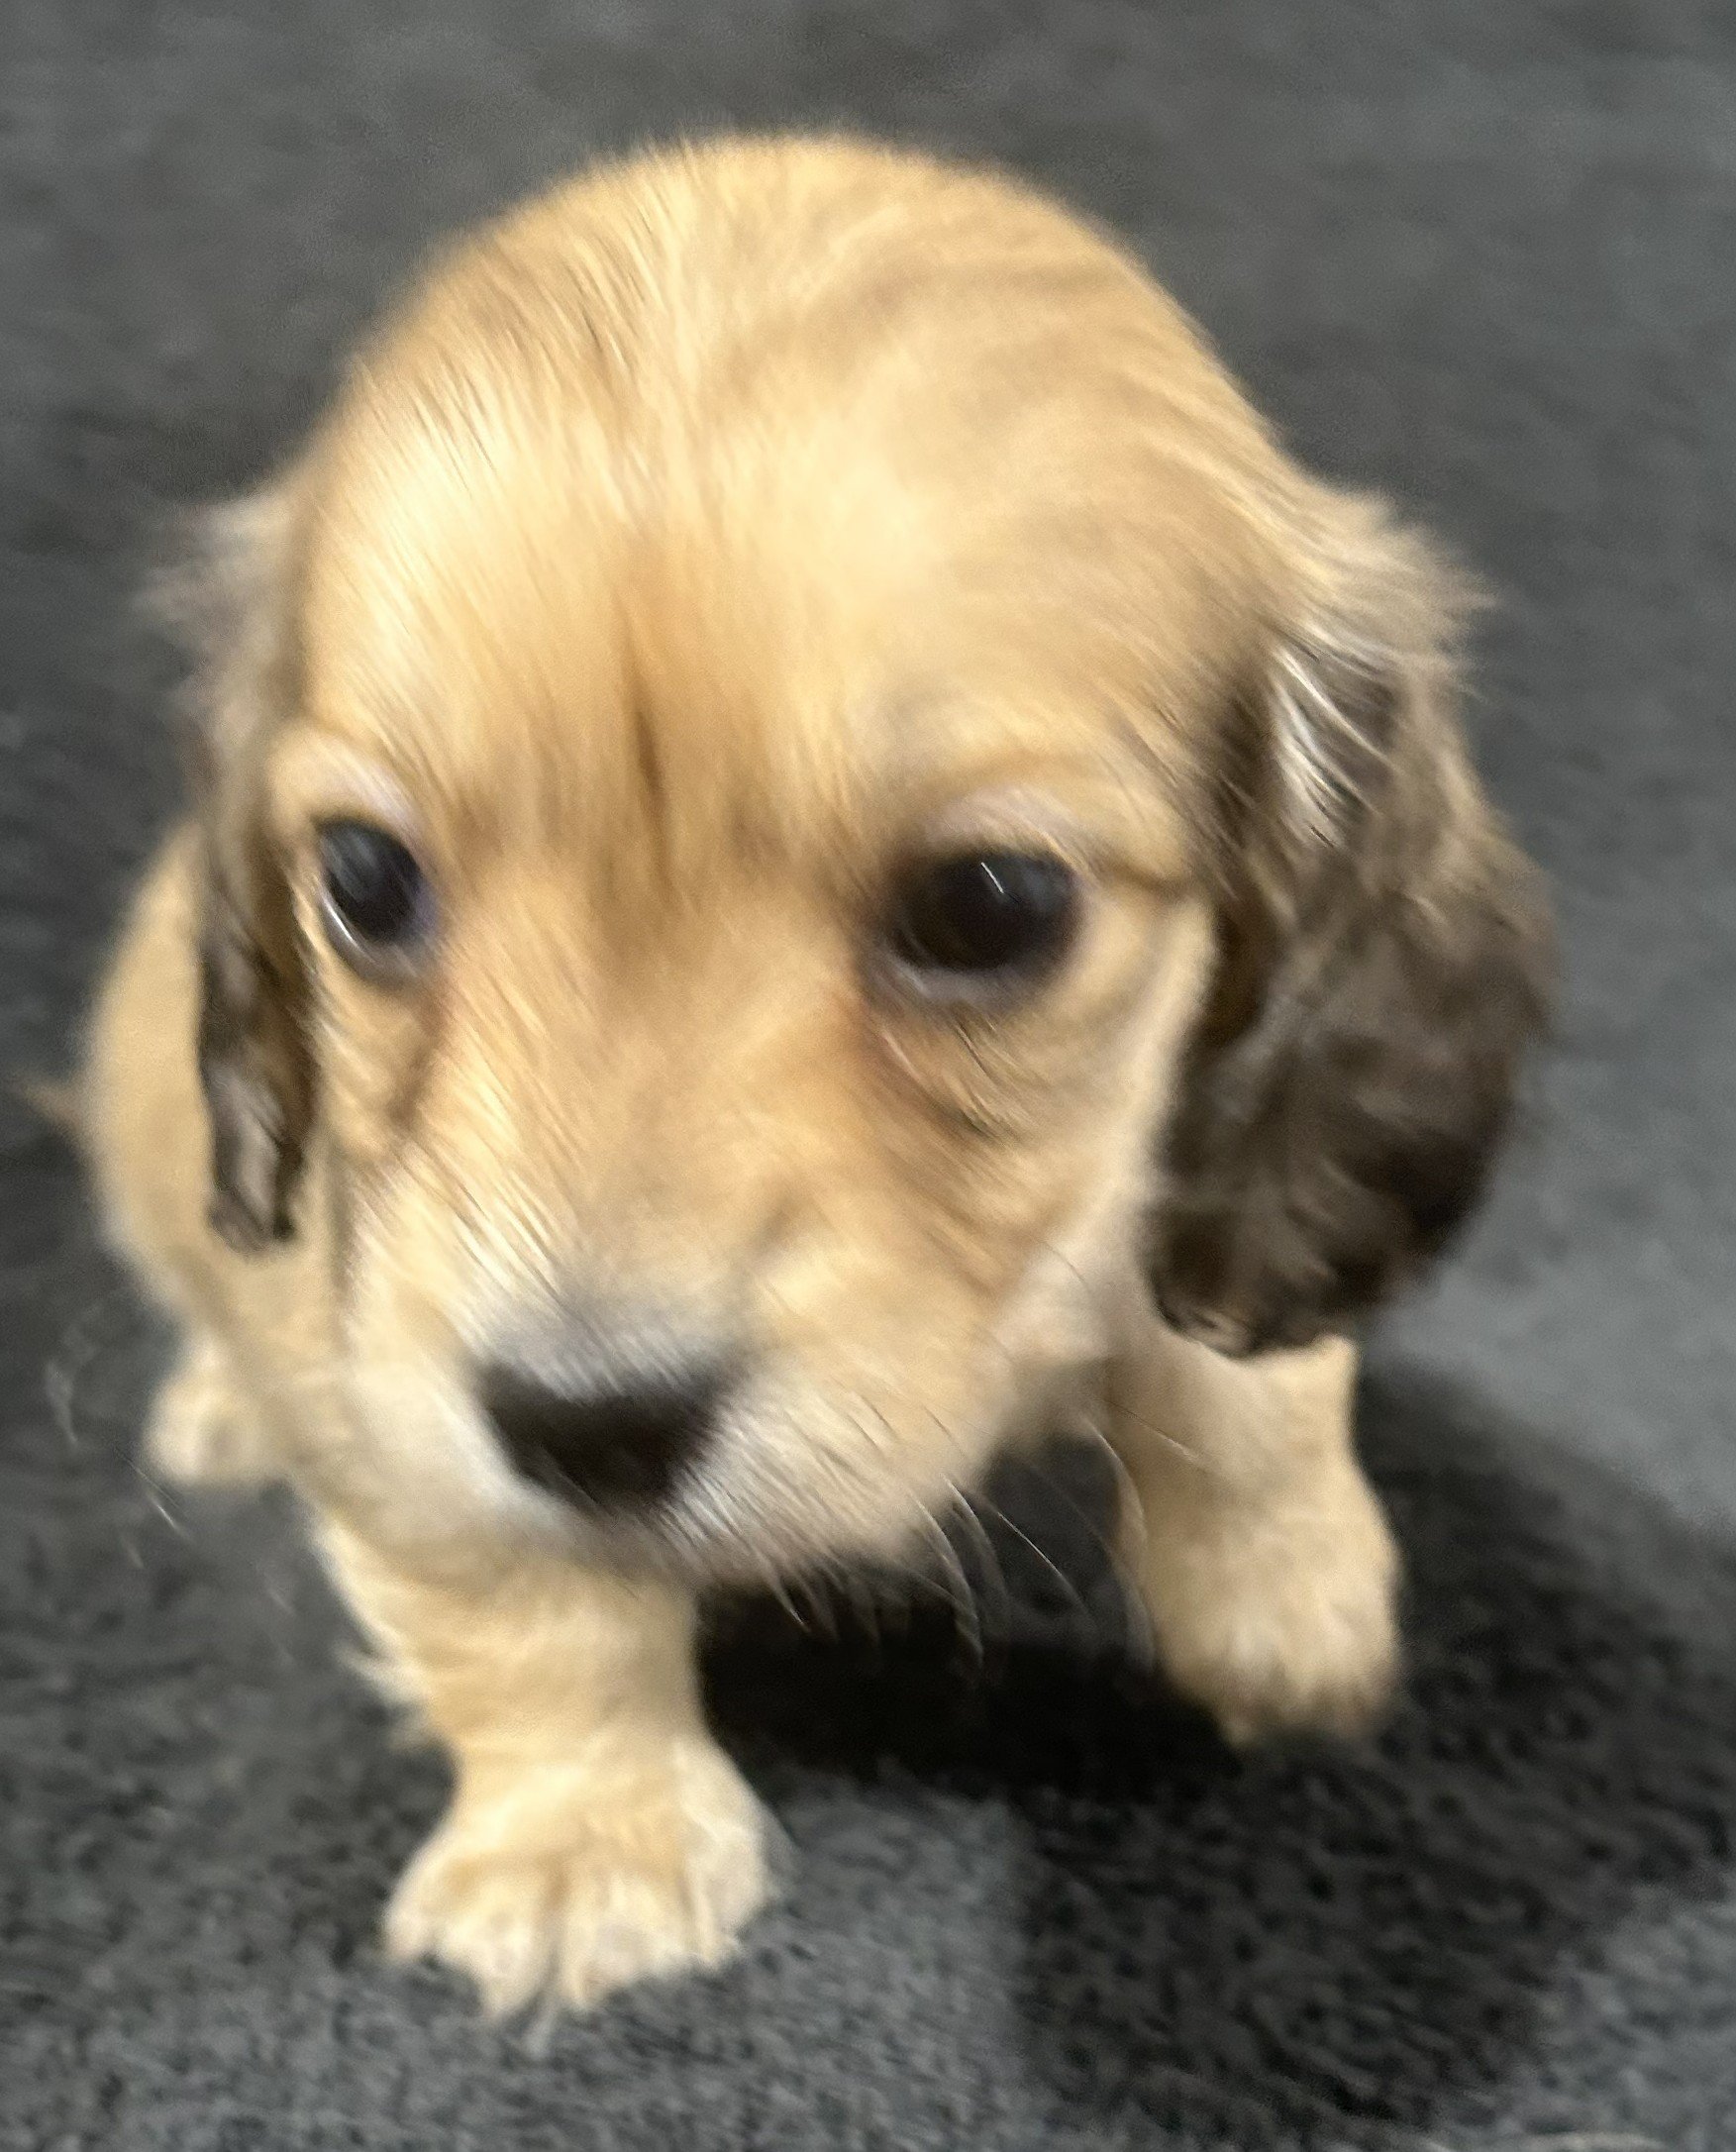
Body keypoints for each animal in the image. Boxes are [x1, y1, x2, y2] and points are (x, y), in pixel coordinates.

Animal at [80, 134, 1550, 2015]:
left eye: (989, 904)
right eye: (362, 878)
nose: (584, 1420)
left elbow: (1242, 1377)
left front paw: (1289, 1603)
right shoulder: (375, 1347)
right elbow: (514, 1585)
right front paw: (589, 1841)